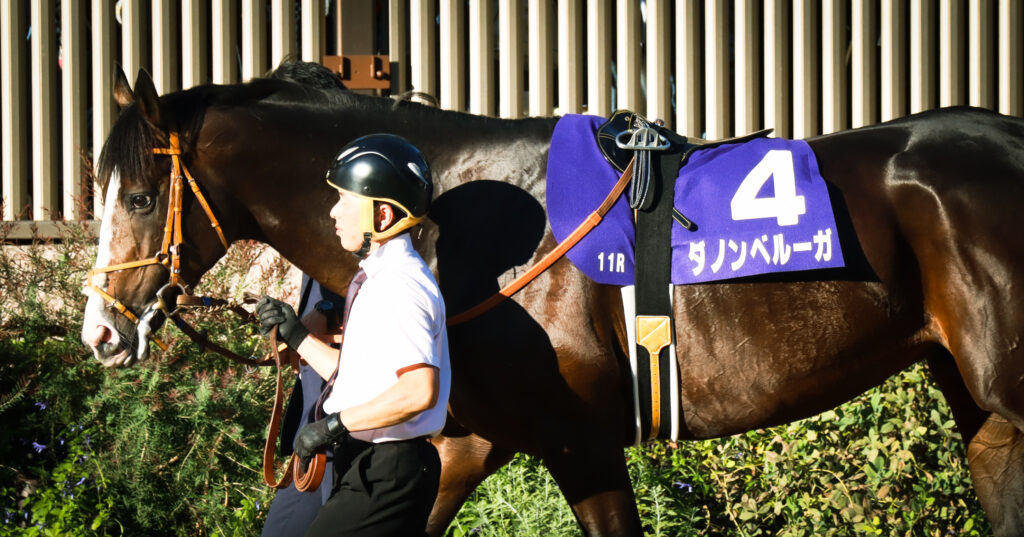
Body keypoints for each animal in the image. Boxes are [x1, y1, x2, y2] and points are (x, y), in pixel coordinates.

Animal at [80, 64, 1024, 536]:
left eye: (139, 194)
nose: (100, 333)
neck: (457, 218)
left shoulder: (581, 443)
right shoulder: (465, 440)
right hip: (983, 407)